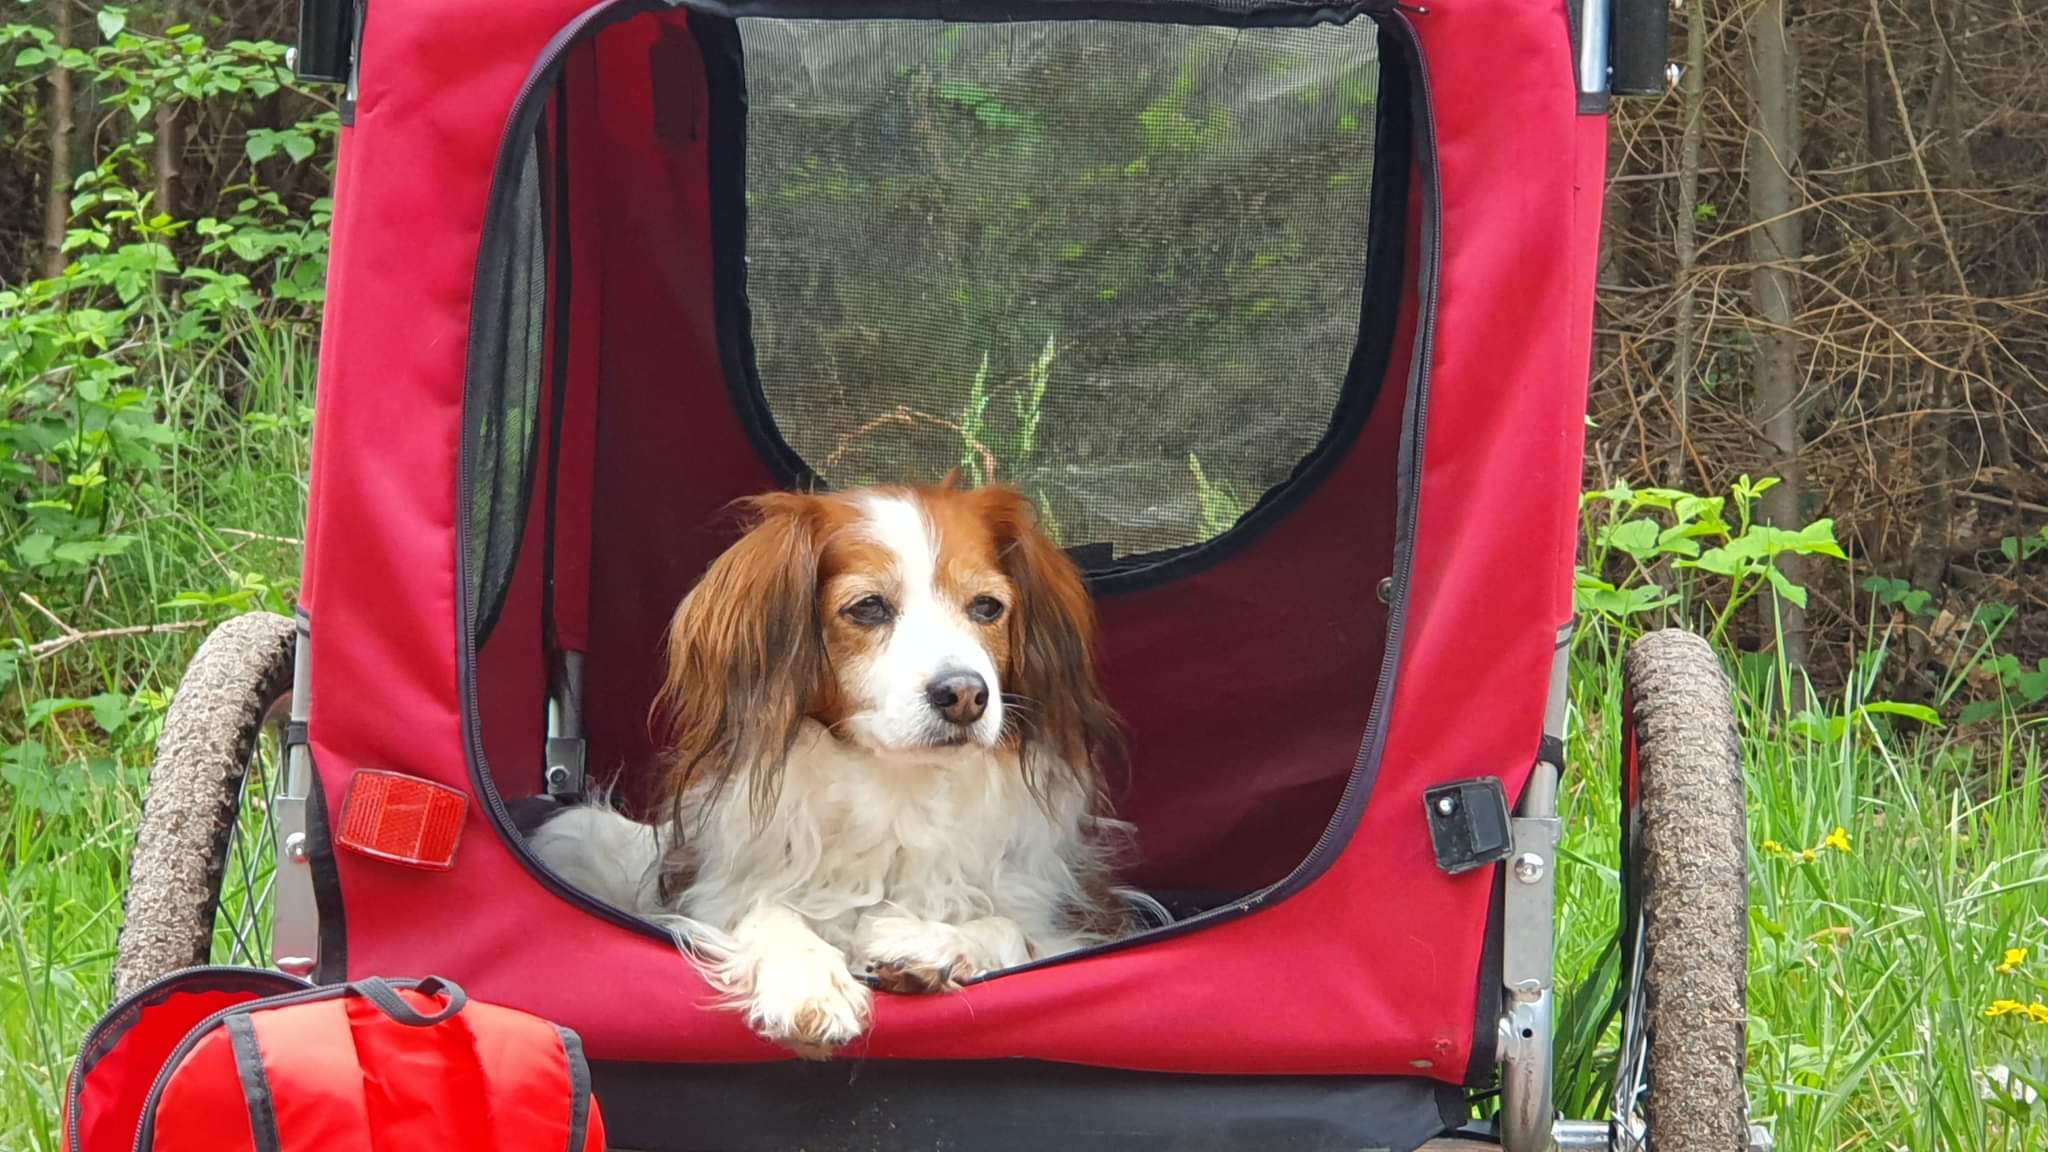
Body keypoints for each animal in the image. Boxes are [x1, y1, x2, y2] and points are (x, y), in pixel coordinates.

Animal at [526, 482, 1155, 1056]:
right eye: (868, 608)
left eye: (987, 608)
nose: (965, 695)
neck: (899, 788)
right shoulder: (719, 892)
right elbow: (768, 911)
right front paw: (808, 984)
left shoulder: (1073, 922)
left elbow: (1010, 930)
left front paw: (929, 942)